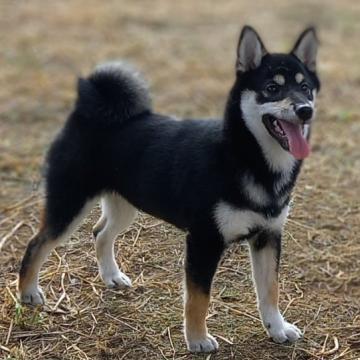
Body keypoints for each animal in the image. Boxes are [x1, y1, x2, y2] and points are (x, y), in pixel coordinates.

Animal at [18, 26, 320, 352]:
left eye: (306, 88)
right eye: (272, 88)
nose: (305, 110)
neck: (248, 159)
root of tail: (85, 112)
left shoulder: (268, 235)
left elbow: (270, 290)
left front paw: (277, 328)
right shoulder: (204, 240)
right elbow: (199, 300)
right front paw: (198, 340)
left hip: (124, 206)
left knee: (100, 233)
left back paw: (111, 276)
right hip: (70, 204)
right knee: (36, 244)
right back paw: (28, 293)